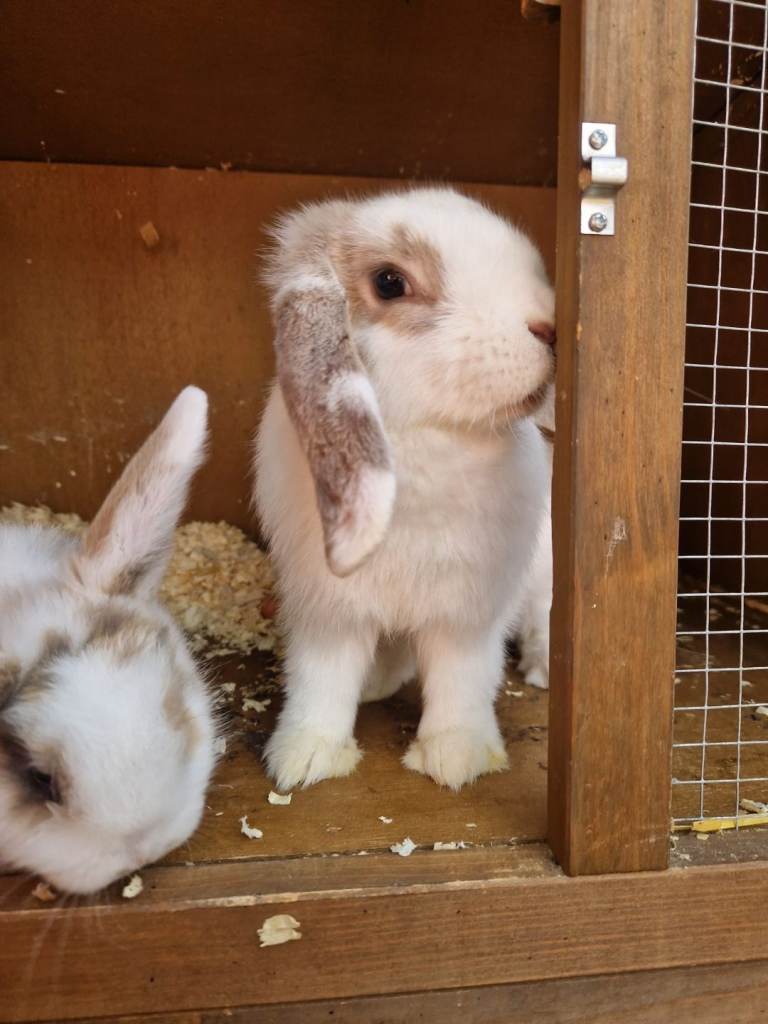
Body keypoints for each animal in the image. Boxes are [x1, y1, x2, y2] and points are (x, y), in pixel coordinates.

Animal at [254, 186, 555, 791]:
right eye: (390, 282)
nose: (549, 327)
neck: (421, 440)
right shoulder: (326, 611)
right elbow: (320, 679)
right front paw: (304, 759)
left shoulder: (468, 613)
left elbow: (462, 679)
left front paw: (457, 757)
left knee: (540, 615)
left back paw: (541, 670)